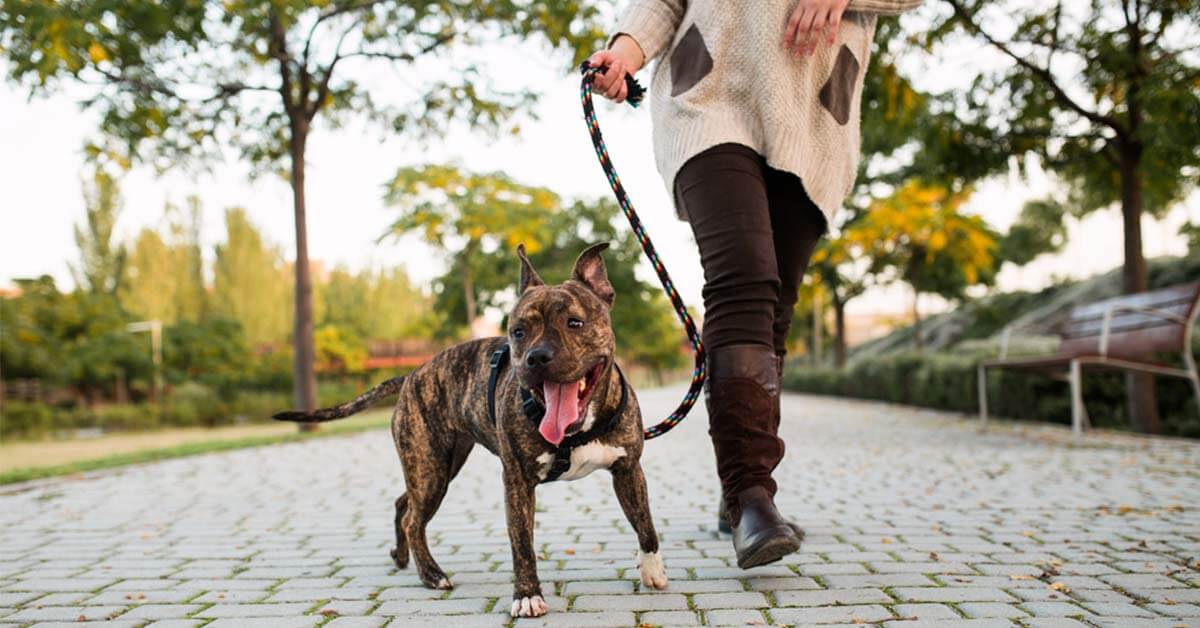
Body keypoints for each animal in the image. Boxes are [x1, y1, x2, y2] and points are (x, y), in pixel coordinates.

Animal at [277, 243, 672, 614]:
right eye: (518, 332)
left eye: (574, 322)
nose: (536, 357)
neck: (577, 429)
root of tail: (411, 375)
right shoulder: (517, 483)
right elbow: (522, 545)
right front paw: (527, 596)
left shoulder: (628, 469)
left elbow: (646, 524)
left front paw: (652, 569)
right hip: (430, 470)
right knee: (414, 519)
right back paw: (431, 574)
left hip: (438, 466)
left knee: (405, 504)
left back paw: (402, 557)